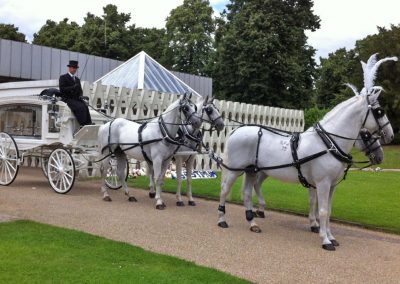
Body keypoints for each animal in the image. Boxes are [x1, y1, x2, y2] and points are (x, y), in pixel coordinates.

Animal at [216, 54, 394, 250]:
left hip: (251, 171)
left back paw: (253, 223)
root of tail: (237, 130)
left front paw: (330, 236)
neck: (328, 143)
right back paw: (222, 219)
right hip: (236, 170)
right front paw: (325, 240)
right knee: (224, 190)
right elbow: (321, 210)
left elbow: (327, 210)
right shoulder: (322, 183)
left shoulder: (331, 185)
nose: (391, 135)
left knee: (248, 193)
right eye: (379, 112)